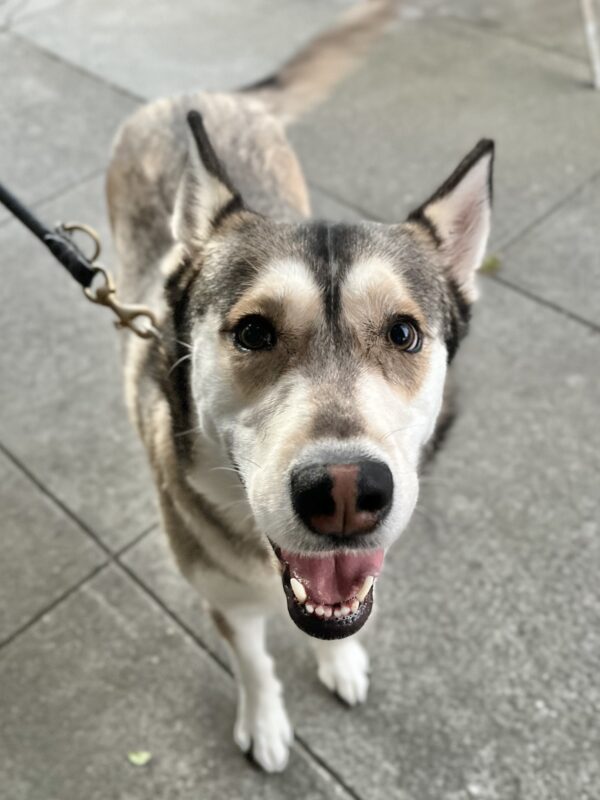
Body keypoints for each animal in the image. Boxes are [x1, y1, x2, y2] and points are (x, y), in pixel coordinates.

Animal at [105, 0, 494, 776]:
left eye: (403, 333)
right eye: (254, 332)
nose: (345, 492)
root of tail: (196, 92)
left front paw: (340, 662)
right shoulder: (224, 599)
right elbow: (255, 663)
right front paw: (264, 722)